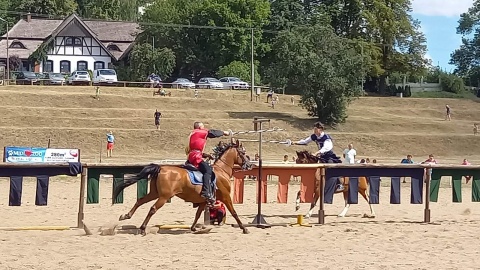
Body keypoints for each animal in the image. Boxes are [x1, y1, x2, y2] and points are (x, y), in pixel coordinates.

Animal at [113, 138, 253, 235]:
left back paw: (126, 216)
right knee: (152, 208)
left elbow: (197, 214)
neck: (221, 171)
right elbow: (234, 213)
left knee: (140, 201)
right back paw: (142, 228)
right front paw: (244, 228)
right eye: (243, 152)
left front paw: (193, 228)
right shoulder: (226, 197)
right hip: (164, 197)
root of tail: (160, 168)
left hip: (154, 193)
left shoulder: (203, 200)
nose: (249, 165)